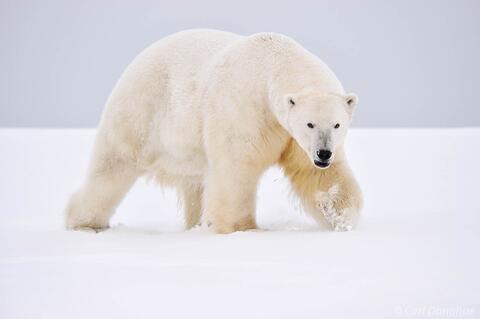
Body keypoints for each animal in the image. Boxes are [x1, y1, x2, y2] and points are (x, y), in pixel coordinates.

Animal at [65, 29, 362, 235]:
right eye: (309, 123)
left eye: (337, 124)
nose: (323, 153)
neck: (272, 60)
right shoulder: (246, 109)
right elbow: (237, 169)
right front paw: (242, 228)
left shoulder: (293, 139)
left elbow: (318, 176)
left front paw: (343, 217)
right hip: (140, 114)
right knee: (112, 168)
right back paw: (84, 222)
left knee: (195, 184)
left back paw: (196, 224)